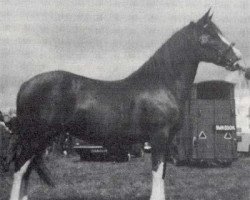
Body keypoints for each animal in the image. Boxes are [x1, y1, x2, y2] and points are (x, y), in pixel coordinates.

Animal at [8, 10, 244, 200]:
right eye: (208, 36)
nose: (238, 58)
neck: (161, 83)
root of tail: (25, 85)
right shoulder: (159, 137)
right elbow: (157, 173)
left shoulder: (167, 141)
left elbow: (162, 173)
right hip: (34, 137)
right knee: (19, 169)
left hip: (40, 140)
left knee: (27, 170)